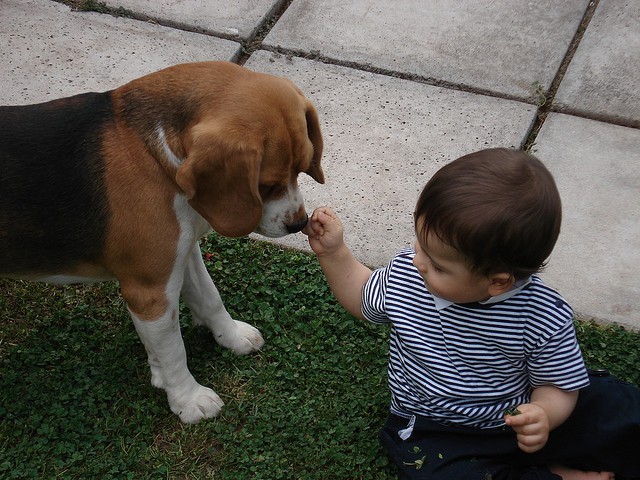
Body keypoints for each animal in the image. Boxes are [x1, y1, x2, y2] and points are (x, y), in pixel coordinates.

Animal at [0, 61, 322, 424]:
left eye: (303, 168)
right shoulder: (149, 291)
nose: (299, 223)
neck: (154, 153)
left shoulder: (184, 253)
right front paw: (188, 398)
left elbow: (210, 298)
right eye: (266, 185)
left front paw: (231, 337)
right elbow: (173, 349)